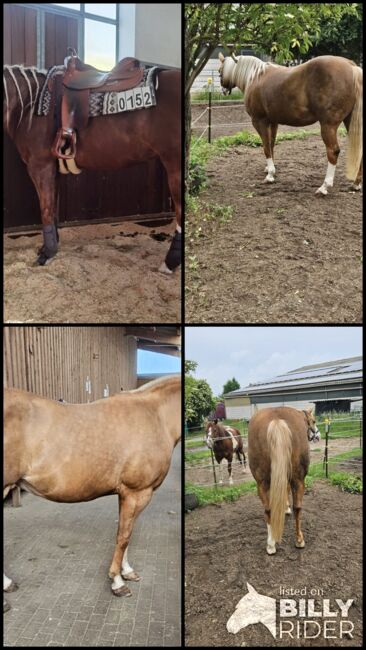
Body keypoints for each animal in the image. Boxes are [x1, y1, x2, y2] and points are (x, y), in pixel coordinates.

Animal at [2, 60, 180, 270]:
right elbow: (53, 210)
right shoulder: (54, 170)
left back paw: (169, 263)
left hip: (174, 165)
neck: (30, 105)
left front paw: (47, 254)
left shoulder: (40, 167)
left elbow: (45, 210)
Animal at [2, 372, 180, 612]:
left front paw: (126, 571)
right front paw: (117, 582)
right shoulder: (137, 493)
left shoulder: (126, 494)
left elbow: (126, 534)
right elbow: (124, 536)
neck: (156, 415)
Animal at [219, 52, 362, 195]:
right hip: (349, 121)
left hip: (328, 125)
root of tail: (352, 67)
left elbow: (266, 147)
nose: (223, 90)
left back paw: (324, 186)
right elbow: (271, 144)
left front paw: (270, 175)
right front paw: (270, 169)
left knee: (333, 151)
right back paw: (356, 184)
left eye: (220, 71)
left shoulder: (259, 121)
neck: (255, 77)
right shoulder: (273, 122)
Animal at [247, 404, 318, 552]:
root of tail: (276, 419)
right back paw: (299, 540)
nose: (317, 434)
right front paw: (286, 508)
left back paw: (271, 544)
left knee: (269, 510)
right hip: (298, 479)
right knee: (297, 508)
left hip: (261, 483)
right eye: (313, 421)